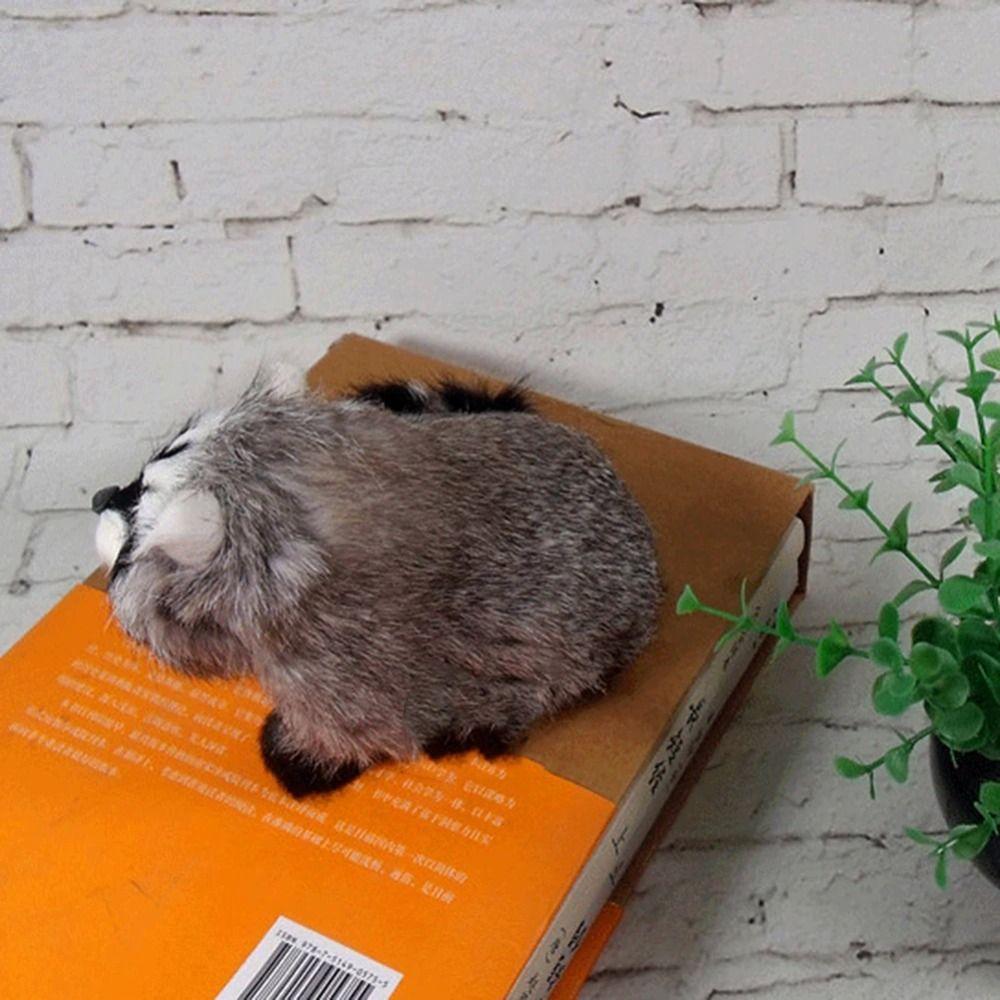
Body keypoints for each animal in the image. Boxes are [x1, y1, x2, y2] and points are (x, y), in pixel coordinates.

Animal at [92, 370, 661, 798]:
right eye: (159, 458)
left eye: (134, 524)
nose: (100, 497)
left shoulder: (339, 659)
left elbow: (357, 730)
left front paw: (300, 750)